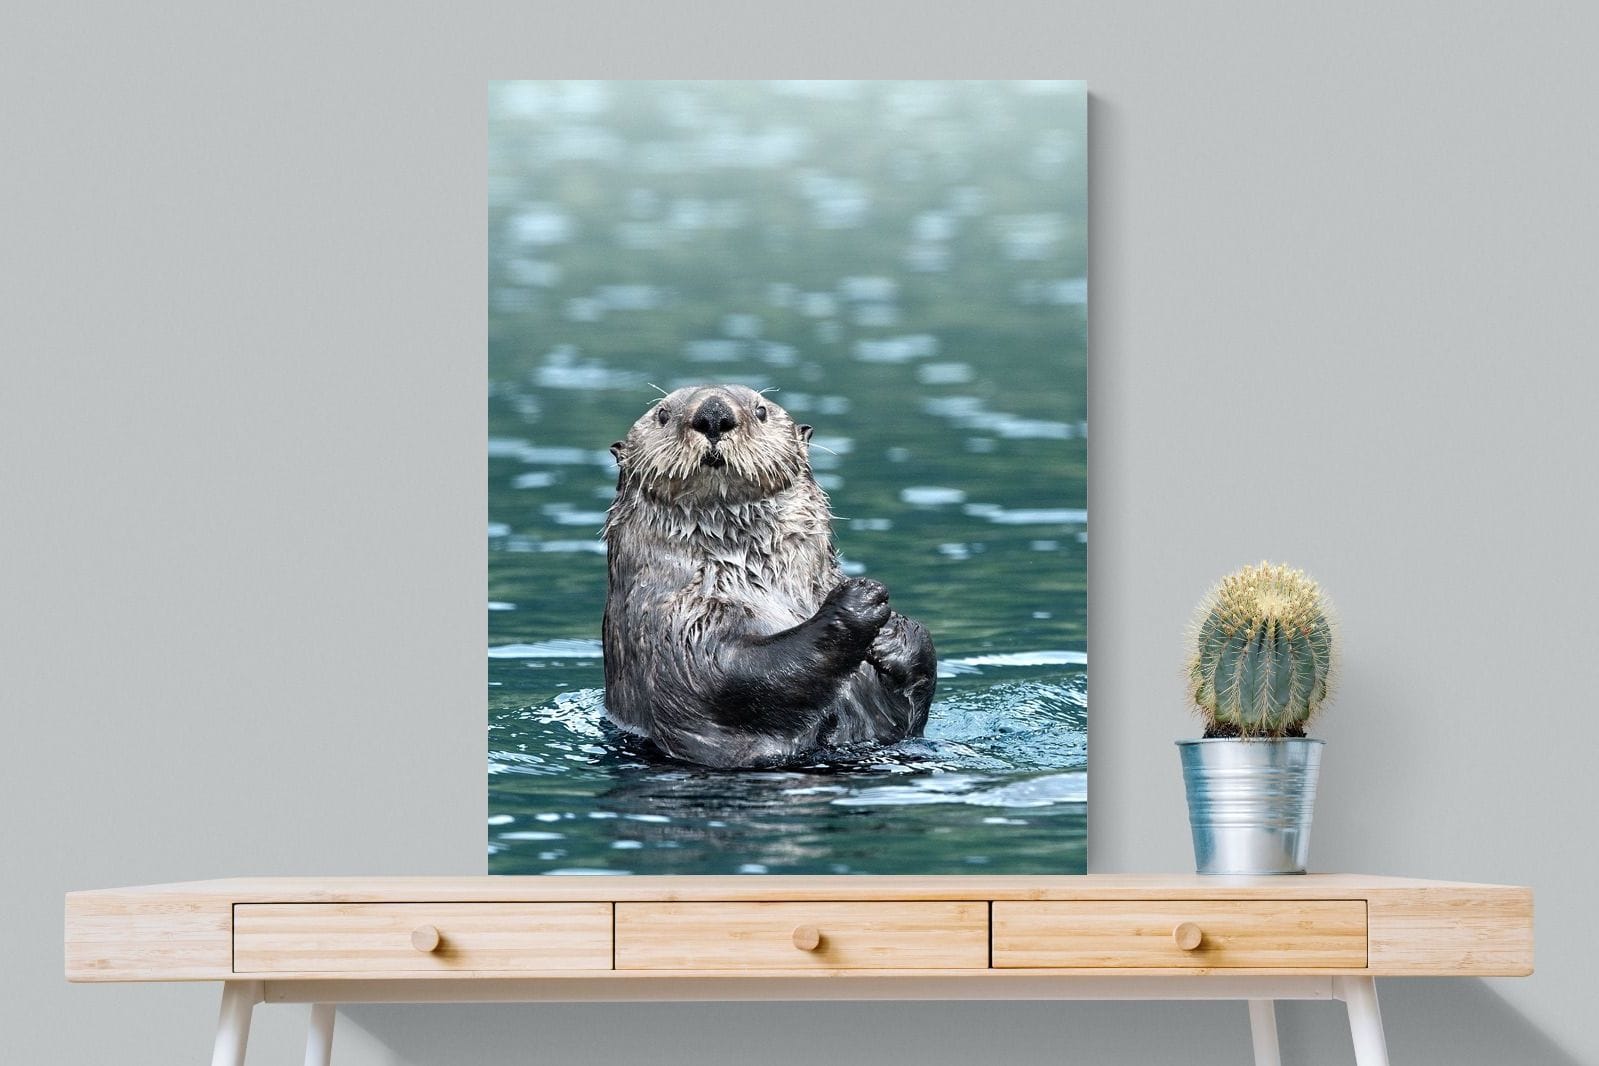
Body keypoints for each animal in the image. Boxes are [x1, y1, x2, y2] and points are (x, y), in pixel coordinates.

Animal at [601, 384, 937, 768]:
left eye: (760, 410)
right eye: (662, 414)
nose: (713, 413)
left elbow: (908, 715)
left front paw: (894, 632)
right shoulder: (673, 626)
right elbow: (732, 673)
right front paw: (858, 600)